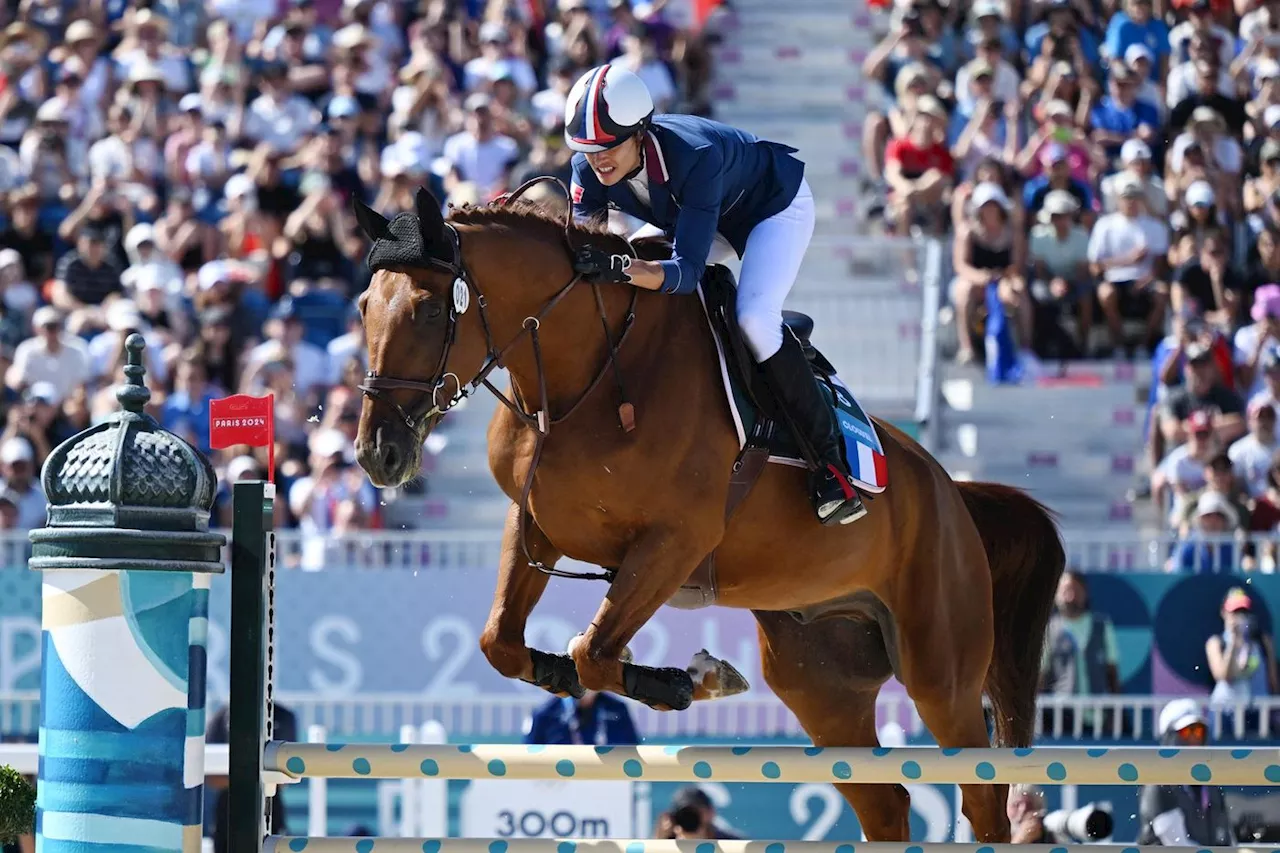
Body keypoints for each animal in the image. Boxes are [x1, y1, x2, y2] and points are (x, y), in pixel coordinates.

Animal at [355, 185, 1064, 835]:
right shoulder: (536, 524)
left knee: (980, 790)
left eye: (427, 311)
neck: (588, 373)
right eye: (364, 307)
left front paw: (694, 678)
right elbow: (502, 642)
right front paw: (573, 673)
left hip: (939, 665)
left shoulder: (676, 542)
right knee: (884, 801)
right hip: (821, 679)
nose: (376, 454)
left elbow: (594, 650)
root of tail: (951, 491)